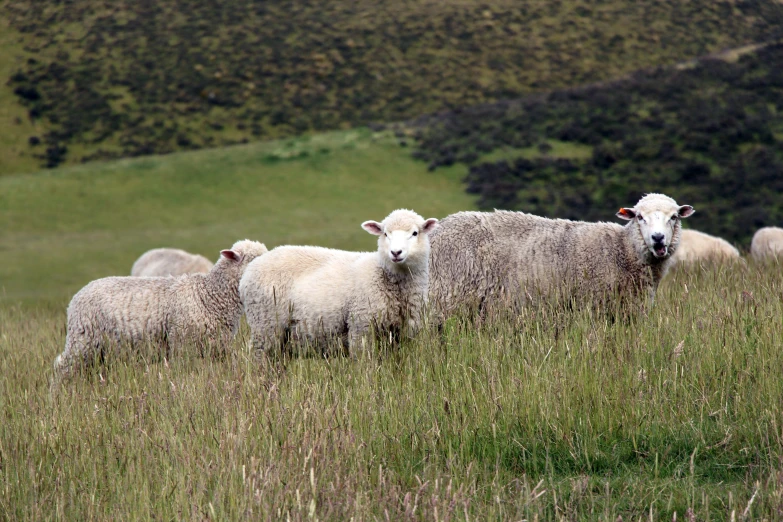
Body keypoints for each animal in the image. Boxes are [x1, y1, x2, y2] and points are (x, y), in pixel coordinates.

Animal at [52, 239, 266, 382]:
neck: (209, 295)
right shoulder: (183, 345)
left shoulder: (218, 348)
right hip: (83, 339)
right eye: (253, 259)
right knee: (63, 367)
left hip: (99, 349)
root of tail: (77, 296)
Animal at [239, 209, 438, 356]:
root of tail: (251, 268)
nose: (396, 253)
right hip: (265, 325)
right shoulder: (361, 326)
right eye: (385, 234)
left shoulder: (402, 335)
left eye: (415, 233)